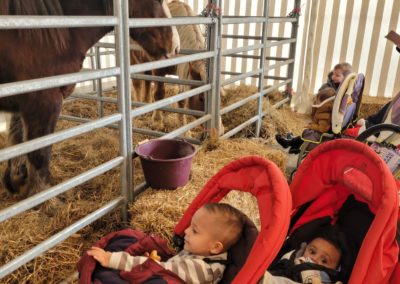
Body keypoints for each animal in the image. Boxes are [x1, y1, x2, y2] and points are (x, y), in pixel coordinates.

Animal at [0, 0, 180, 197]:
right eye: (157, 1)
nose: (176, 46)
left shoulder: (21, 102)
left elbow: (18, 141)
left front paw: (17, 180)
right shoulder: (43, 100)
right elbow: (39, 153)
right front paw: (45, 198)